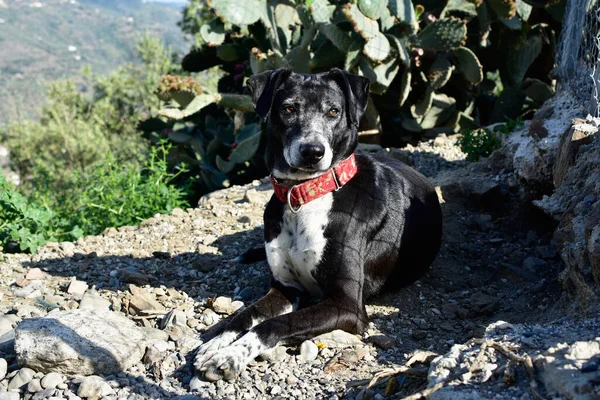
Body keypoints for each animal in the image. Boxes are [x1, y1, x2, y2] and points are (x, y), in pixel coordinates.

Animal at [195, 68, 442, 382]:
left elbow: (274, 325)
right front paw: (216, 342)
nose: (312, 151)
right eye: (288, 109)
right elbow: (245, 315)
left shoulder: (347, 305)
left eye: (333, 111)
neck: (305, 195)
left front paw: (230, 356)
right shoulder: (285, 288)